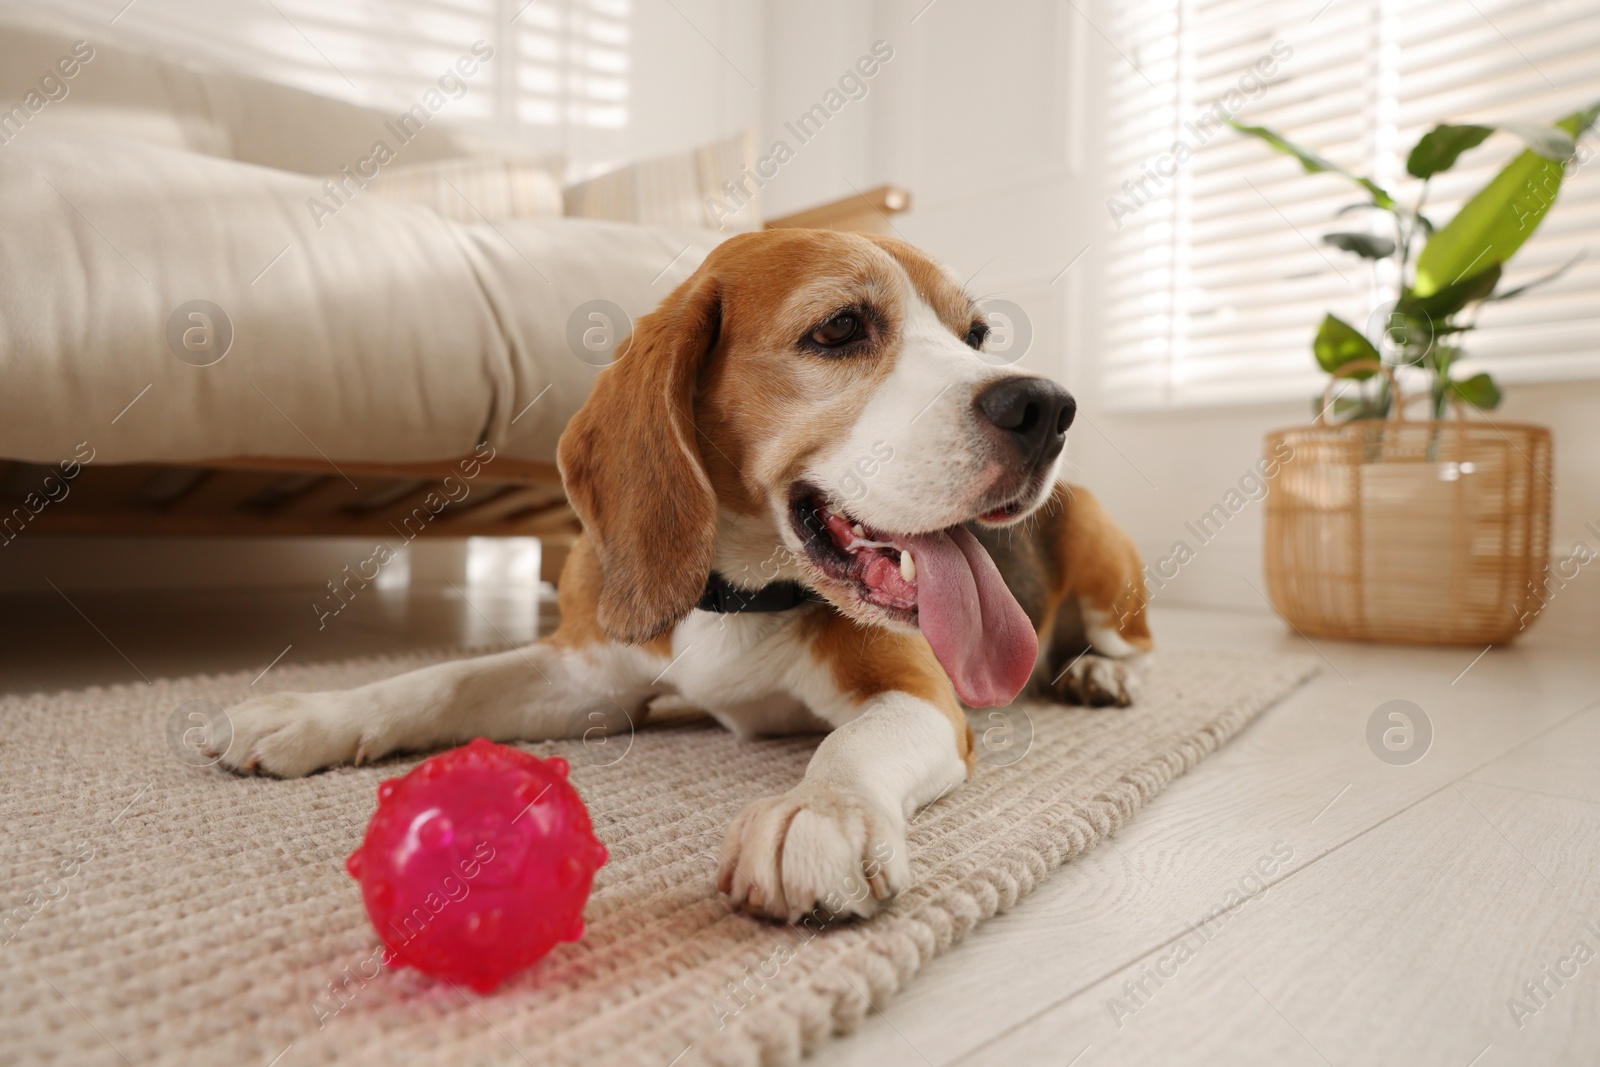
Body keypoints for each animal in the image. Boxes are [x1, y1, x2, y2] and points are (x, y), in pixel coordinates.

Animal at [219, 230, 1158, 921]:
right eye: (841, 328)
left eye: (976, 337)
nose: (1047, 406)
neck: (738, 593)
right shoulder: (588, 681)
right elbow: (439, 681)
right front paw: (313, 713)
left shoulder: (921, 689)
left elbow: (854, 744)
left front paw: (819, 814)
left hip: (1105, 553)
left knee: (1130, 642)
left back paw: (1102, 674)